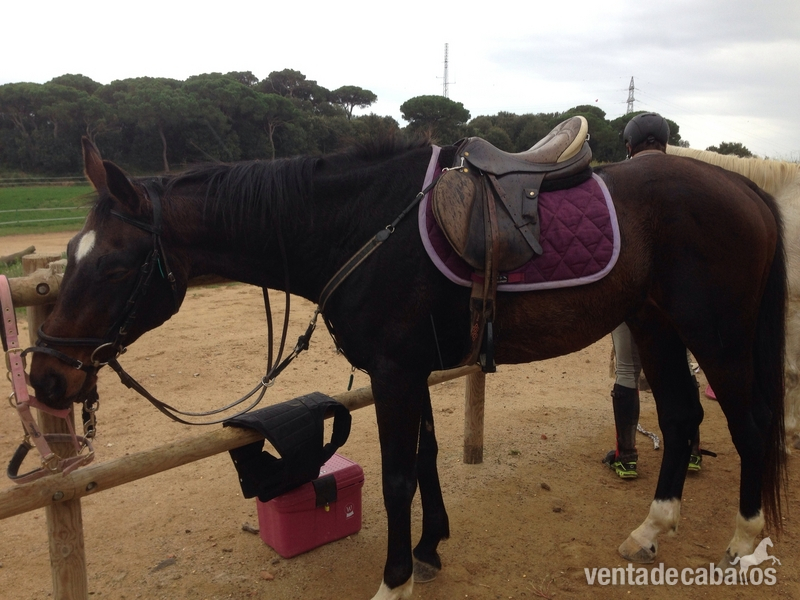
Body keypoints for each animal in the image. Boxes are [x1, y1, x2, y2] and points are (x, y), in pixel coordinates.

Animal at [27, 135, 786, 600]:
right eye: (69, 255)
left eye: (115, 265)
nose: (45, 378)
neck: (361, 226)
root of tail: (740, 186)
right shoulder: (413, 371)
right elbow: (424, 461)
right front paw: (430, 548)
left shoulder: (394, 372)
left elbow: (396, 479)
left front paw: (393, 578)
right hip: (655, 326)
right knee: (683, 417)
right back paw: (650, 531)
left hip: (716, 335)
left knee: (746, 425)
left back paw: (745, 539)